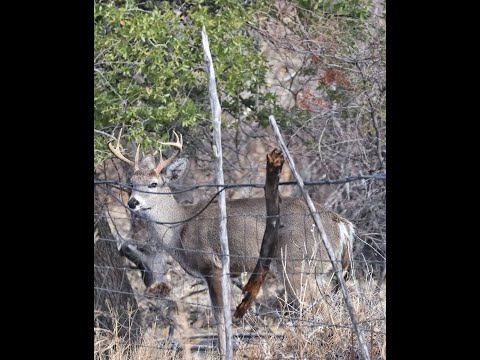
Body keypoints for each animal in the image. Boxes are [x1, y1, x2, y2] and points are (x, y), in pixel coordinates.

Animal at [109, 130, 356, 358]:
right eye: (131, 183)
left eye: (154, 184)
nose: (132, 202)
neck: (180, 227)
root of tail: (341, 224)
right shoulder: (227, 271)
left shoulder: (213, 265)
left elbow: (219, 315)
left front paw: (223, 352)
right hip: (321, 270)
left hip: (296, 263)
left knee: (319, 308)